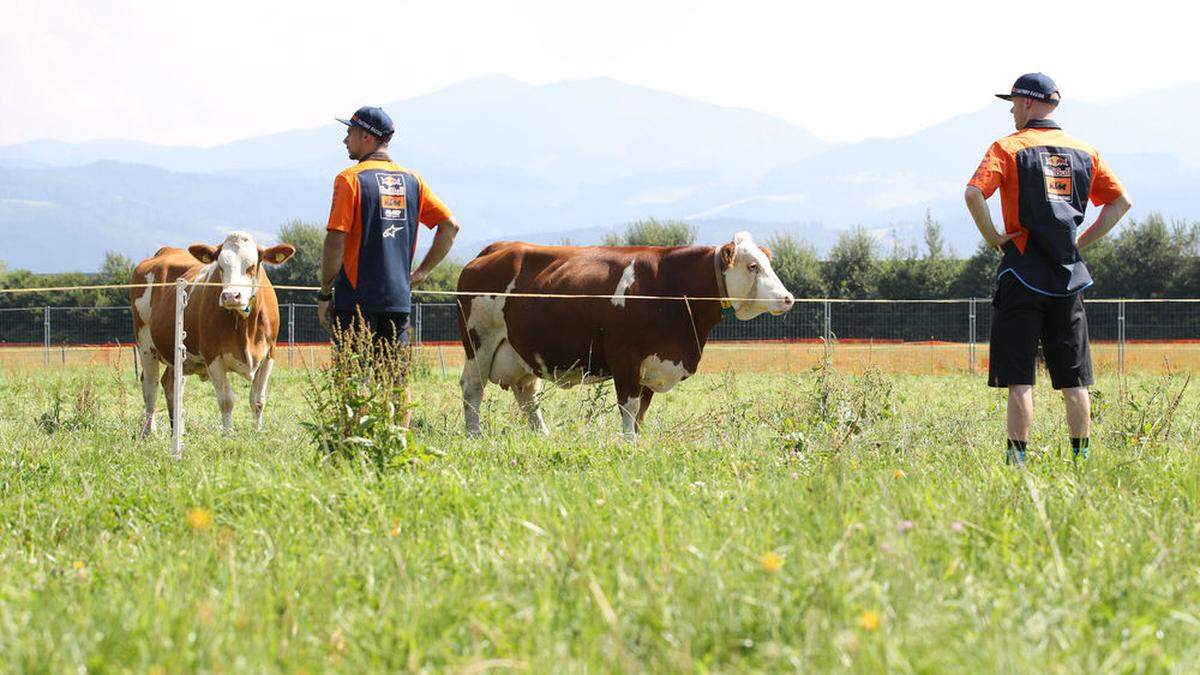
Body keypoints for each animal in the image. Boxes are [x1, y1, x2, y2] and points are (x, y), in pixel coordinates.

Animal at [129, 229, 295, 437]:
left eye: (251, 266)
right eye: (221, 266)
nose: (231, 296)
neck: (244, 326)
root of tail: (165, 251)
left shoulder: (268, 355)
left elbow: (258, 400)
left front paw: (257, 432)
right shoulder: (213, 357)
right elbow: (226, 400)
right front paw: (227, 434)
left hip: (177, 354)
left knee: (172, 386)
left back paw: (178, 432)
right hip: (145, 345)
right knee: (150, 387)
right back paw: (149, 432)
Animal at [453, 230, 792, 437]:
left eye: (766, 263)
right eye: (752, 266)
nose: (788, 298)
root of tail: (496, 249)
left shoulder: (653, 365)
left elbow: (641, 410)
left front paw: (638, 442)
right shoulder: (626, 360)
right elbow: (628, 408)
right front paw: (628, 443)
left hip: (521, 351)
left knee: (527, 395)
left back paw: (543, 435)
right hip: (479, 343)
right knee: (473, 389)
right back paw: (474, 435)